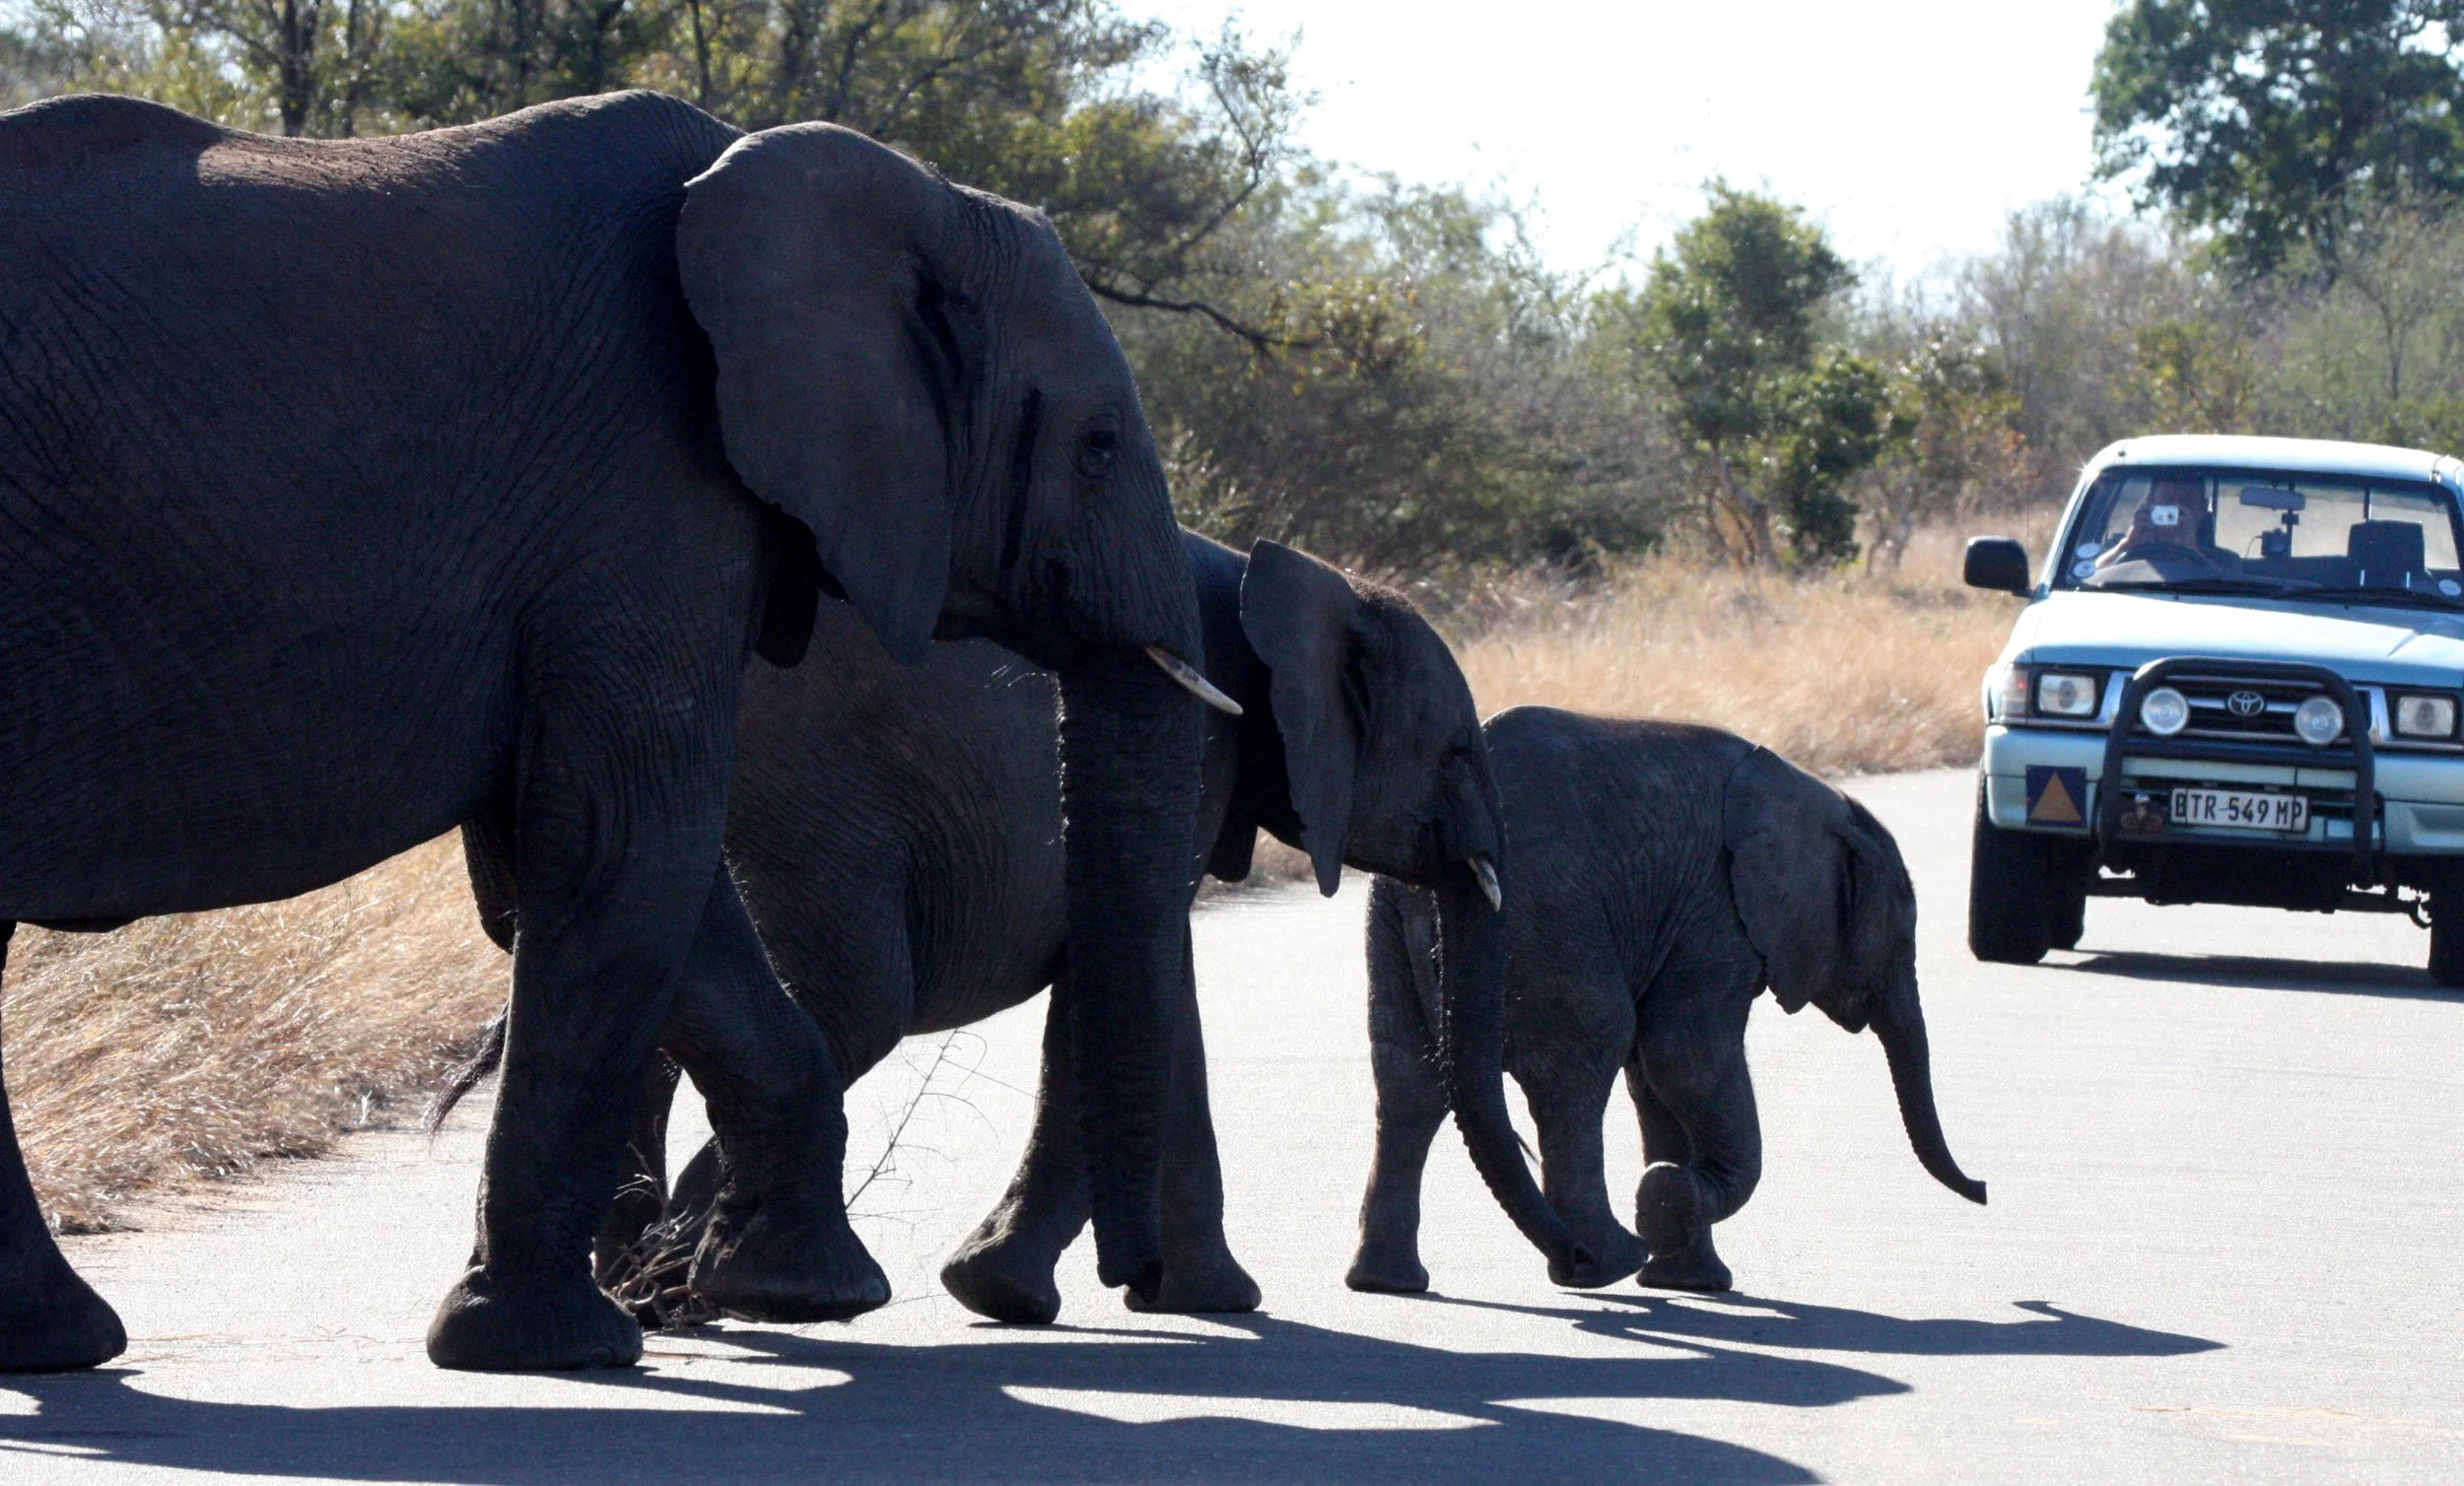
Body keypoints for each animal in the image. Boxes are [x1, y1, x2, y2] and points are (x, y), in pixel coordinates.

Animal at [0, 91, 1213, 1372]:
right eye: (1097, 444)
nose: (1137, 1282)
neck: (903, 195)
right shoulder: (644, 488)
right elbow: (623, 846)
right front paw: (563, 1341)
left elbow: (613, 885)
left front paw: (782, 1293)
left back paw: (58, 1339)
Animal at [445, 529, 1582, 1325]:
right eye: (1457, 752)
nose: (1580, 1264)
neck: (1295, 583)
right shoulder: (1196, 741)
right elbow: (1117, 988)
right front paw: (1003, 1292)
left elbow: (1156, 990)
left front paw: (1204, 1299)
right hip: (797, 795)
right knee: (854, 1002)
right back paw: (701, 1287)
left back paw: (633, 1286)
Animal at [1347, 712, 1985, 1298]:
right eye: (1902, 935)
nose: (1983, 1189)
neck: (1819, 802)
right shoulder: (1717, 913)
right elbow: (1684, 1061)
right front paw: (1669, 1200)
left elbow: (1653, 1078)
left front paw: (1688, 1275)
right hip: (1548, 917)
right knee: (1578, 1063)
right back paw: (1604, 1264)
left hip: (1393, 921)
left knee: (1407, 1082)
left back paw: (1388, 1282)